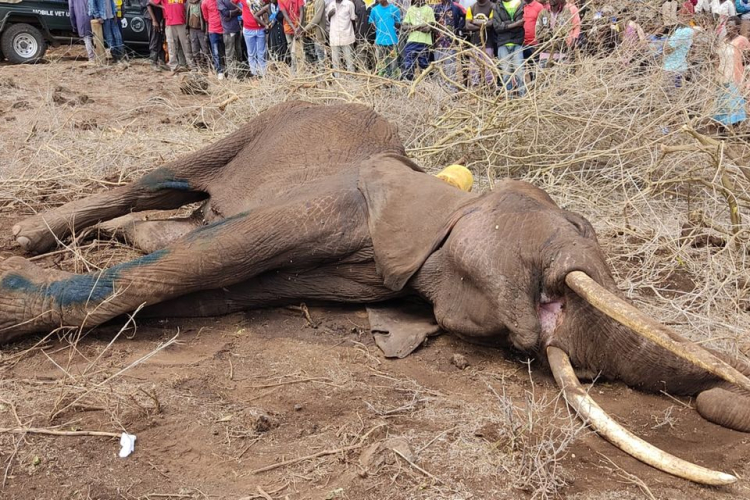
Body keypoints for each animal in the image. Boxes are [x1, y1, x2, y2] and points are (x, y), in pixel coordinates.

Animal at [3, 101, 750, 486]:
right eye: (579, 226)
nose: (718, 402)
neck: (444, 197)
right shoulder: (330, 207)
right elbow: (188, 264)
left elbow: (199, 290)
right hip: (259, 123)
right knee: (157, 184)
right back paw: (29, 233)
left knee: (168, 217)